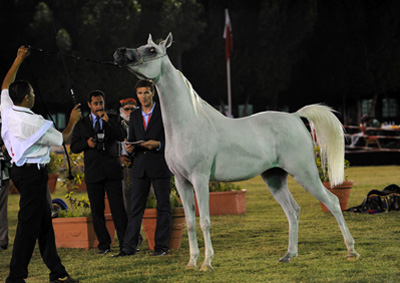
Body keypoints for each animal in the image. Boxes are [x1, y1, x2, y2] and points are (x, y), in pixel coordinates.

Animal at [112, 32, 360, 272]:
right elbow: (190, 222)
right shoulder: (182, 182)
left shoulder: (200, 179)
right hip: (275, 178)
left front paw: (207, 263)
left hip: (305, 173)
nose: (120, 53)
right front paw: (191, 263)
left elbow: (205, 221)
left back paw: (351, 251)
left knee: (333, 202)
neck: (189, 122)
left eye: (152, 50)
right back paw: (289, 255)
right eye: (140, 45)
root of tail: (294, 116)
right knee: (293, 210)